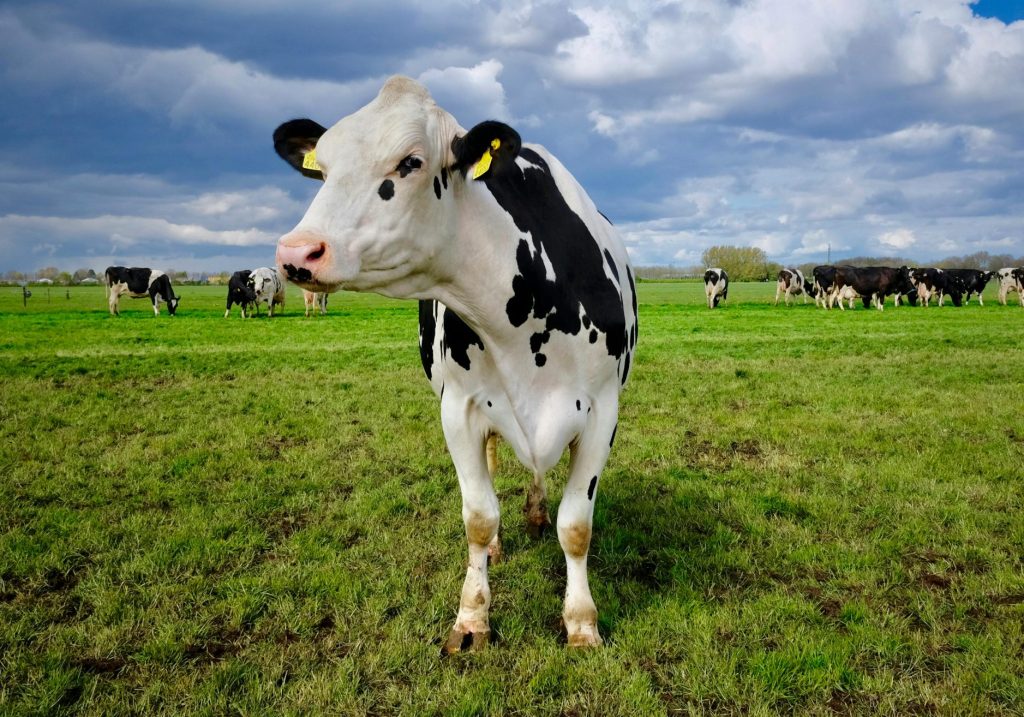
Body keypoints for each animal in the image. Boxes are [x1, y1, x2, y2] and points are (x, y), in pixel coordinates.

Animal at [276, 76, 634, 651]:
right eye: (323, 168)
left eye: (410, 162)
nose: (297, 252)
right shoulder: (460, 411)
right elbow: (479, 517)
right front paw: (471, 620)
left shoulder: (603, 412)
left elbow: (576, 525)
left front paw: (582, 623)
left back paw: (536, 513)